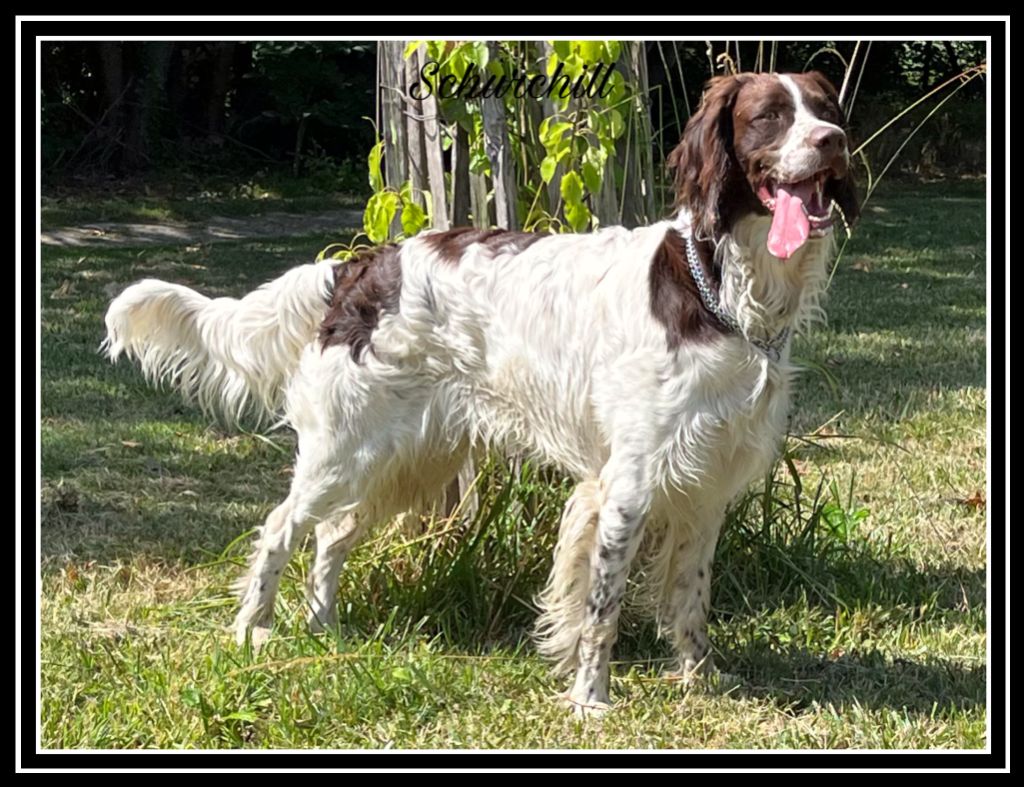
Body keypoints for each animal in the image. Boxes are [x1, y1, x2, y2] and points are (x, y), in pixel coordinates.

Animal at [103, 72, 856, 712]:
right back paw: (251, 632)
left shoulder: (706, 483)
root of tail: (358, 268)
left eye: (826, 108)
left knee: (332, 537)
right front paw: (591, 701)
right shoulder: (629, 483)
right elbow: (601, 609)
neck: (724, 287)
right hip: (346, 451)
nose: (833, 141)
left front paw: (700, 679)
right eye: (770, 116)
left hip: (410, 458)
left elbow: (689, 597)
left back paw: (326, 630)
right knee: (282, 528)